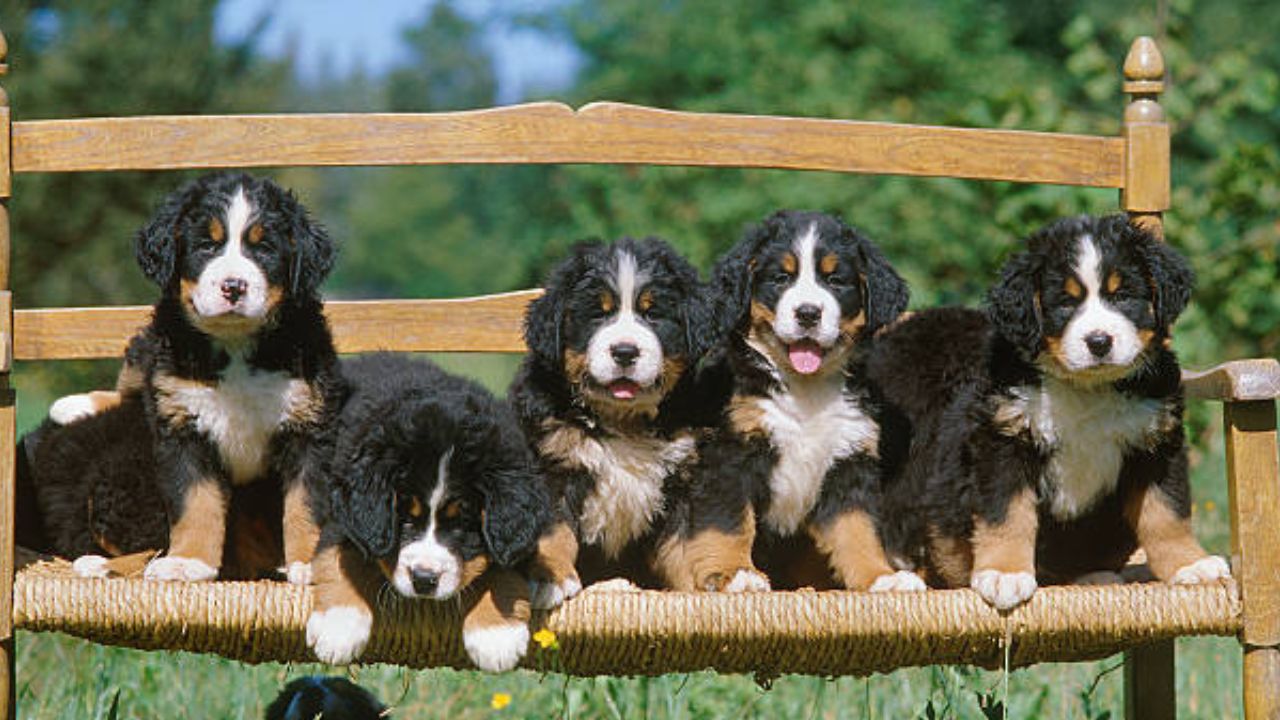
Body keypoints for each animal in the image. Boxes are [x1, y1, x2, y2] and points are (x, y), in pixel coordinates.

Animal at [35, 169, 343, 584]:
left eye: (264, 248)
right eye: (206, 245)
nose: (234, 286)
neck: (235, 343)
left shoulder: (309, 427)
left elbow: (306, 504)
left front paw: (310, 563)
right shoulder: (182, 426)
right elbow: (195, 500)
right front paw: (188, 561)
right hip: (157, 345)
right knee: (136, 380)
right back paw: (75, 405)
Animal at [870, 211, 1228, 604]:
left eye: (1122, 295)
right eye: (1065, 303)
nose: (1099, 341)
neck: (1087, 389)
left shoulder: (1156, 441)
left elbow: (1166, 512)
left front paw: (1190, 564)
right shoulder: (1004, 438)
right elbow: (1008, 513)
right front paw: (1005, 573)